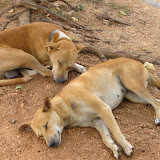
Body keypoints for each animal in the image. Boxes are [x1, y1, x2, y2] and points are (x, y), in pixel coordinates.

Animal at [19, 57, 160, 159]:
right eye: (40, 137)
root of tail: (140, 64)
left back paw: (158, 118)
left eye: (46, 125)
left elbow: (116, 132)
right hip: (132, 95)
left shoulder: (104, 109)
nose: (51, 145)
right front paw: (115, 149)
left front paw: (126, 147)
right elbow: (106, 139)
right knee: (156, 101)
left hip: (132, 84)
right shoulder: (98, 121)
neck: (65, 104)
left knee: (155, 102)